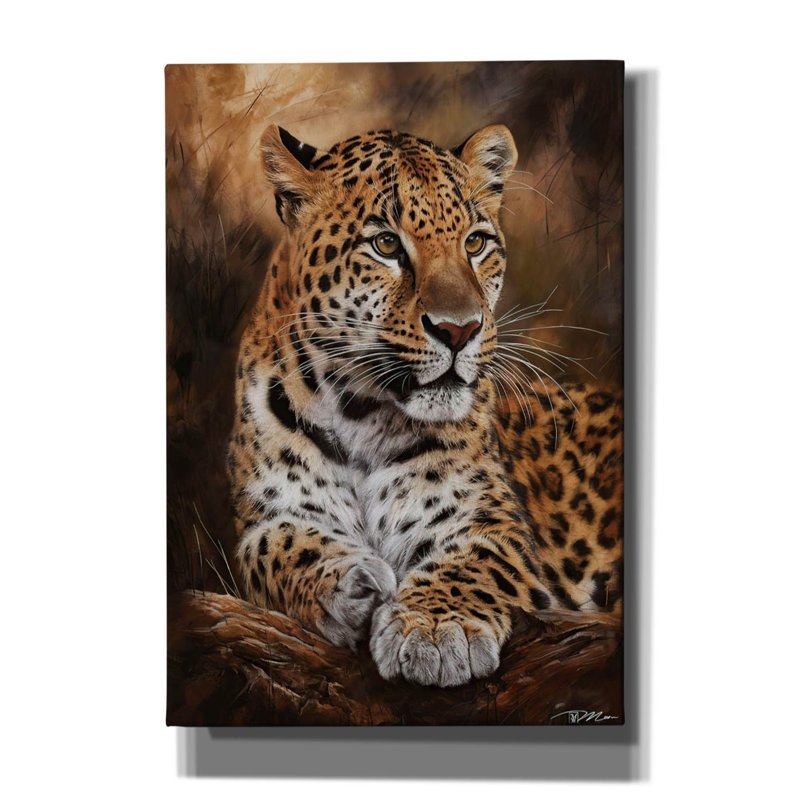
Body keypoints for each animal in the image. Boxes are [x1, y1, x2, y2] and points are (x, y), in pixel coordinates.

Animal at [226, 123, 623, 688]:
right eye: (386, 244)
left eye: (475, 243)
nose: (460, 330)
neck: (359, 412)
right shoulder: (267, 516)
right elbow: (275, 546)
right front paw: (352, 584)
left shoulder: (495, 525)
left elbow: (474, 564)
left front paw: (435, 629)